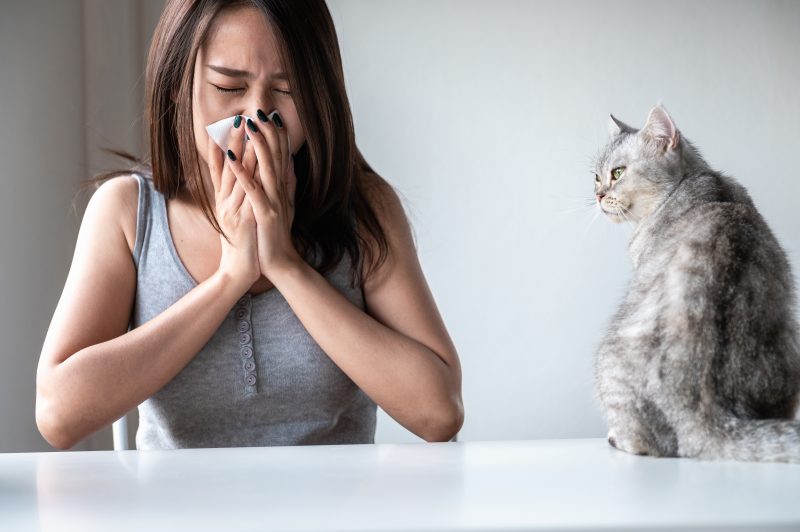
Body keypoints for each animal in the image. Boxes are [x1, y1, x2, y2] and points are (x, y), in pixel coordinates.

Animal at [592, 104, 800, 462]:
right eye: (595, 175)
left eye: (617, 173)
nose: (597, 194)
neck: (701, 180)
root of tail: (703, 406)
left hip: (608, 359)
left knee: (650, 444)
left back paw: (618, 438)